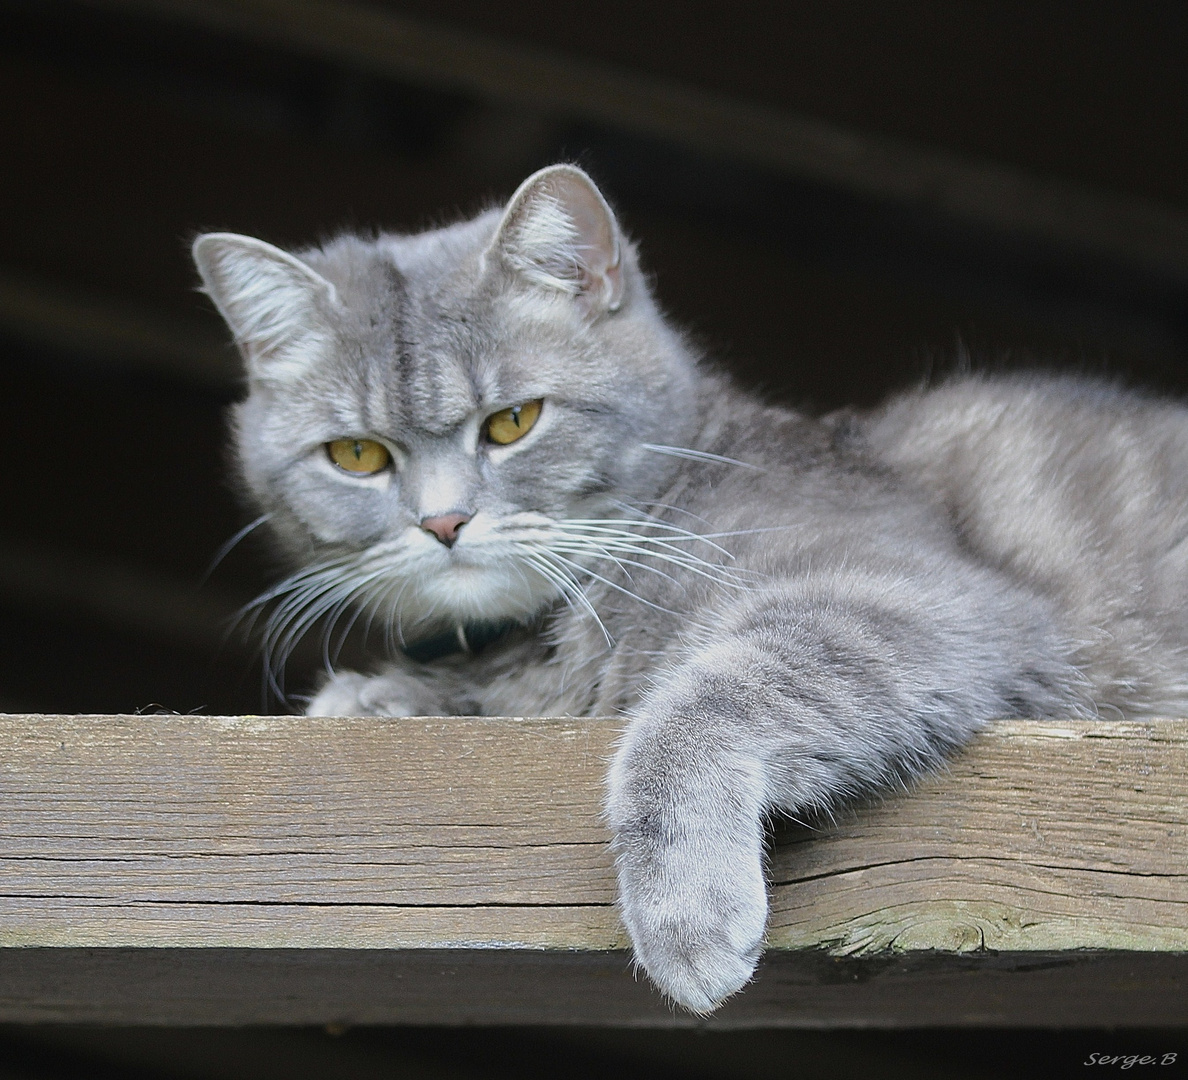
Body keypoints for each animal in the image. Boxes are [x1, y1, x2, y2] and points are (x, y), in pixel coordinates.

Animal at [190, 162, 1188, 1012]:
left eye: (513, 422)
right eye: (356, 455)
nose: (443, 522)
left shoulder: (911, 593)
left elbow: (706, 702)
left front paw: (685, 914)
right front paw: (382, 696)